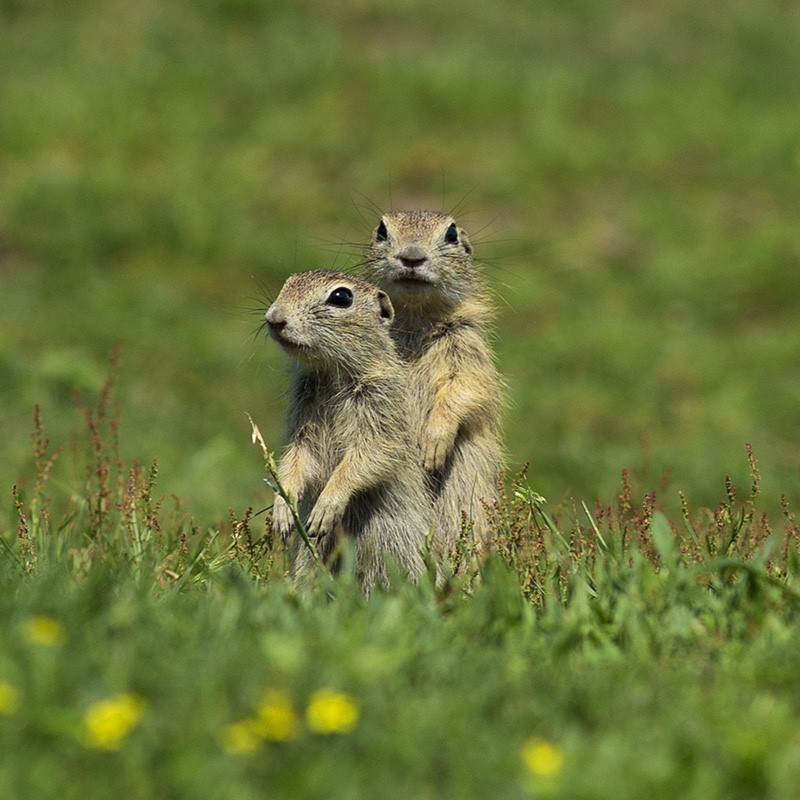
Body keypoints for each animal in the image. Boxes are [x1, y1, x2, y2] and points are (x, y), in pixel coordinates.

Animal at [266, 272, 432, 592]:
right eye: (288, 282)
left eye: (341, 297)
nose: (274, 318)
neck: (332, 373)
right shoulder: (303, 425)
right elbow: (296, 460)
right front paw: (283, 508)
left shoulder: (381, 408)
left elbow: (367, 458)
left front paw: (324, 509)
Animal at [364, 209, 504, 552]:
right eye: (382, 230)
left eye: (451, 234)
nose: (412, 257)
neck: (416, 319)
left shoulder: (467, 348)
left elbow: (465, 388)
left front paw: (432, 446)